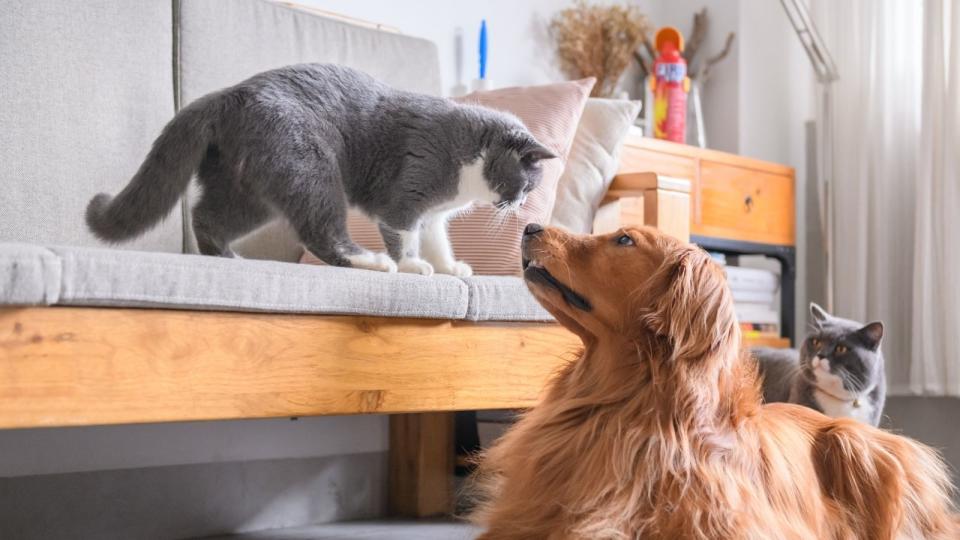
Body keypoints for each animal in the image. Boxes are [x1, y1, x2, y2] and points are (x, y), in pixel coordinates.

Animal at [90, 62, 560, 278]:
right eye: (526, 182)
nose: (518, 203)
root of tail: (227, 95)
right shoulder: (409, 194)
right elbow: (404, 234)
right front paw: (412, 266)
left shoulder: (433, 216)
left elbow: (437, 240)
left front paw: (448, 268)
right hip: (309, 165)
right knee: (320, 229)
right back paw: (371, 261)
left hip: (247, 186)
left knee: (205, 214)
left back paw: (227, 256)